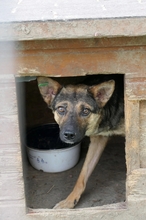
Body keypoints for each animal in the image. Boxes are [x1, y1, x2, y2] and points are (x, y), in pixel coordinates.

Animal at [37, 75, 124, 209]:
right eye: (61, 109)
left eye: (85, 111)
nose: (69, 135)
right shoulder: (97, 141)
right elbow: (82, 175)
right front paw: (70, 200)